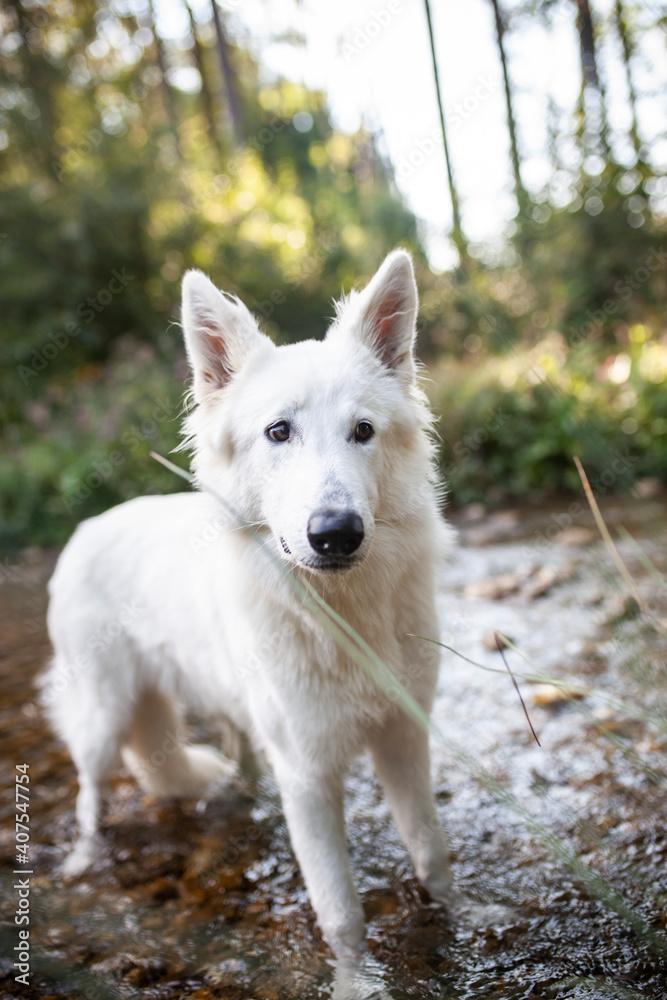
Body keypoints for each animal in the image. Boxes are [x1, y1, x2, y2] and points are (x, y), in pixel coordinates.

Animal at [44, 248, 454, 952]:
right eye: (279, 431)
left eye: (363, 430)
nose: (336, 533)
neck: (342, 616)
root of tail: (84, 528)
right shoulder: (308, 779)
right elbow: (342, 916)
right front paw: (356, 972)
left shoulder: (404, 740)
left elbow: (431, 856)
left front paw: (468, 916)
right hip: (102, 717)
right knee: (89, 795)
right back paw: (84, 857)